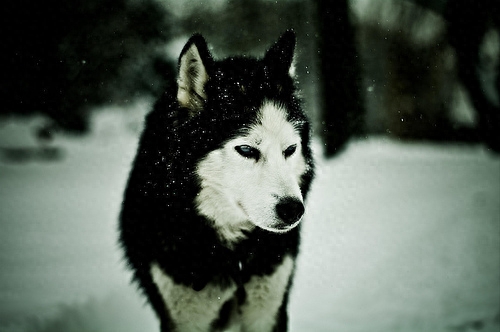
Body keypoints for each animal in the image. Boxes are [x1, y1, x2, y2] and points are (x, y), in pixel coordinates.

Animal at [120, 29, 312, 330]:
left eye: (290, 149)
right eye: (246, 150)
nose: (293, 210)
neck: (233, 255)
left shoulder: (268, 309)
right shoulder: (182, 315)